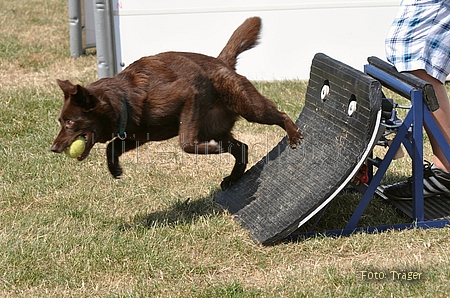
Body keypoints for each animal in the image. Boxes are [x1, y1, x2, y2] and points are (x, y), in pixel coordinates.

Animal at [51, 16, 302, 189]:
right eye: (61, 121)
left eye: (71, 122)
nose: (53, 148)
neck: (124, 100)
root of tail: (222, 62)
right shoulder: (139, 135)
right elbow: (112, 147)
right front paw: (115, 169)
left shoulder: (187, 95)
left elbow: (185, 143)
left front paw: (211, 149)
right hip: (213, 127)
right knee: (242, 148)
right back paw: (232, 178)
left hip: (248, 107)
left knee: (279, 115)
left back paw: (293, 135)